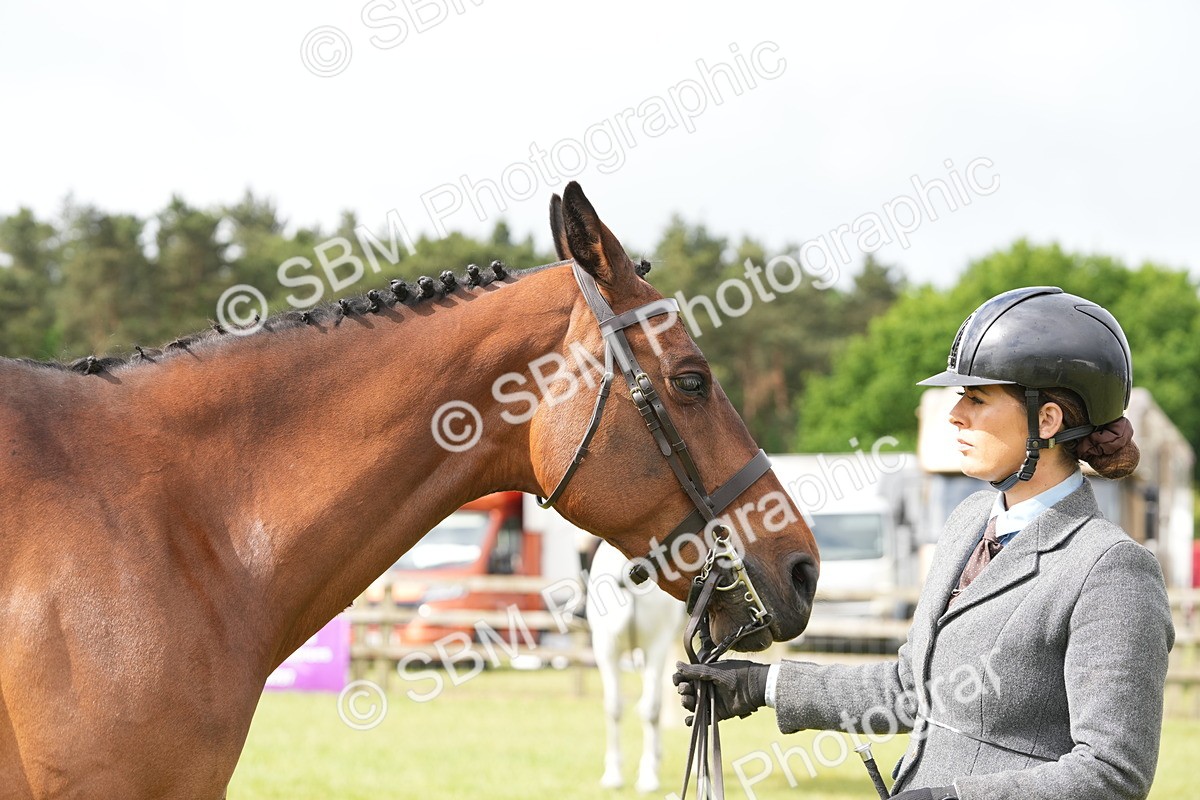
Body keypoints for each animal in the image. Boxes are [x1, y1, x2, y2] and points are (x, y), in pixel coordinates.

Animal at [586, 540, 686, 793]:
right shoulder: (606, 649)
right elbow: (613, 709)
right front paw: (613, 774)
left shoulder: (656, 647)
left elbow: (649, 711)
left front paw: (648, 776)